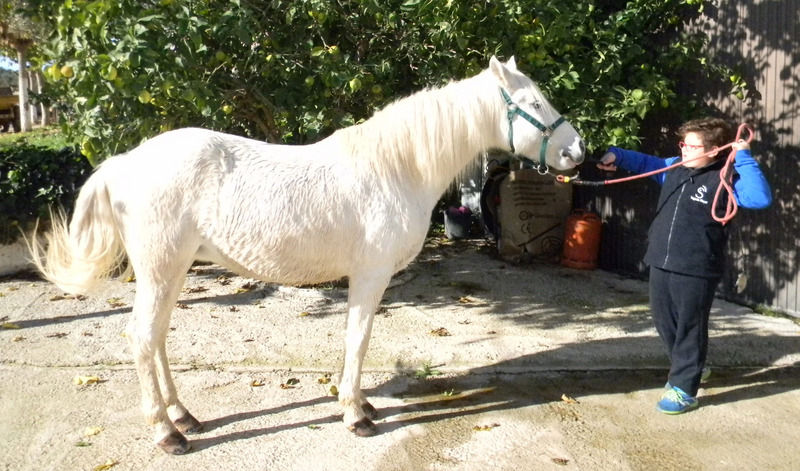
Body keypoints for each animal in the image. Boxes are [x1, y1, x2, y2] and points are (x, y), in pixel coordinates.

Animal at [30, 56, 585, 454]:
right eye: (534, 101)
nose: (577, 151)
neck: (396, 167)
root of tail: (126, 161)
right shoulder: (371, 276)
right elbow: (358, 341)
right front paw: (355, 415)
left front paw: (360, 405)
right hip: (162, 268)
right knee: (144, 338)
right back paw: (168, 434)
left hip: (172, 270)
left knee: (158, 337)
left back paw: (183, 415)